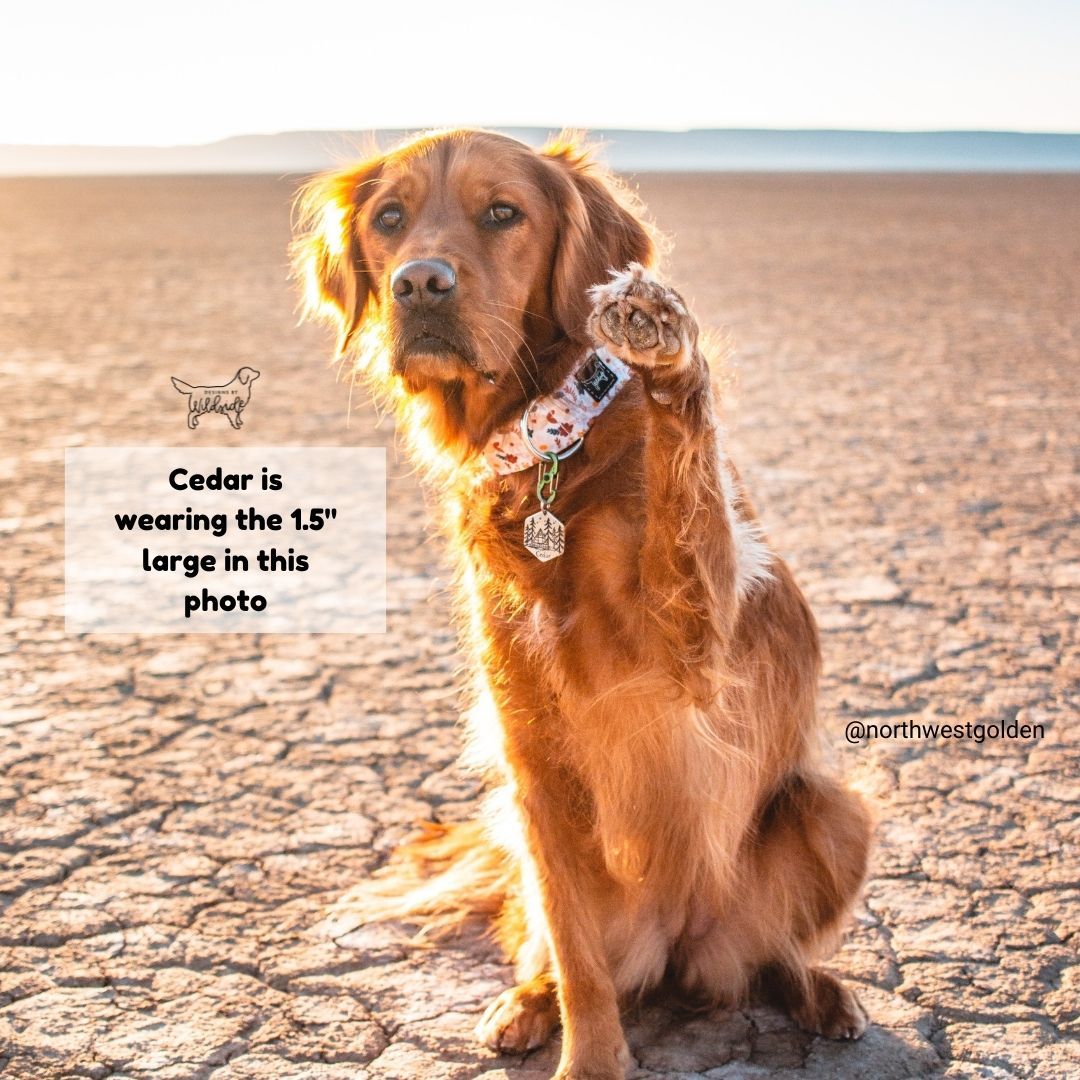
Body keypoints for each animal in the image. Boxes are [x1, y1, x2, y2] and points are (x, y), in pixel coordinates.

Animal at [291, 132, 872, 1080]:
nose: (420, 283)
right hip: (529, 843)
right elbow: (578, 959)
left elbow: (689, 499)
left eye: (503, 212)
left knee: (776, 955)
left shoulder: (698, 654)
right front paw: (589, 1054)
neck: (553, 449)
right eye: (390, 218)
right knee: (560, 950)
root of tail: (681, 945)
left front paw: (664, 345)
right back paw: (525, 1004)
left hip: (833, 813)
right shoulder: (532, 764)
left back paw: (819, 991)